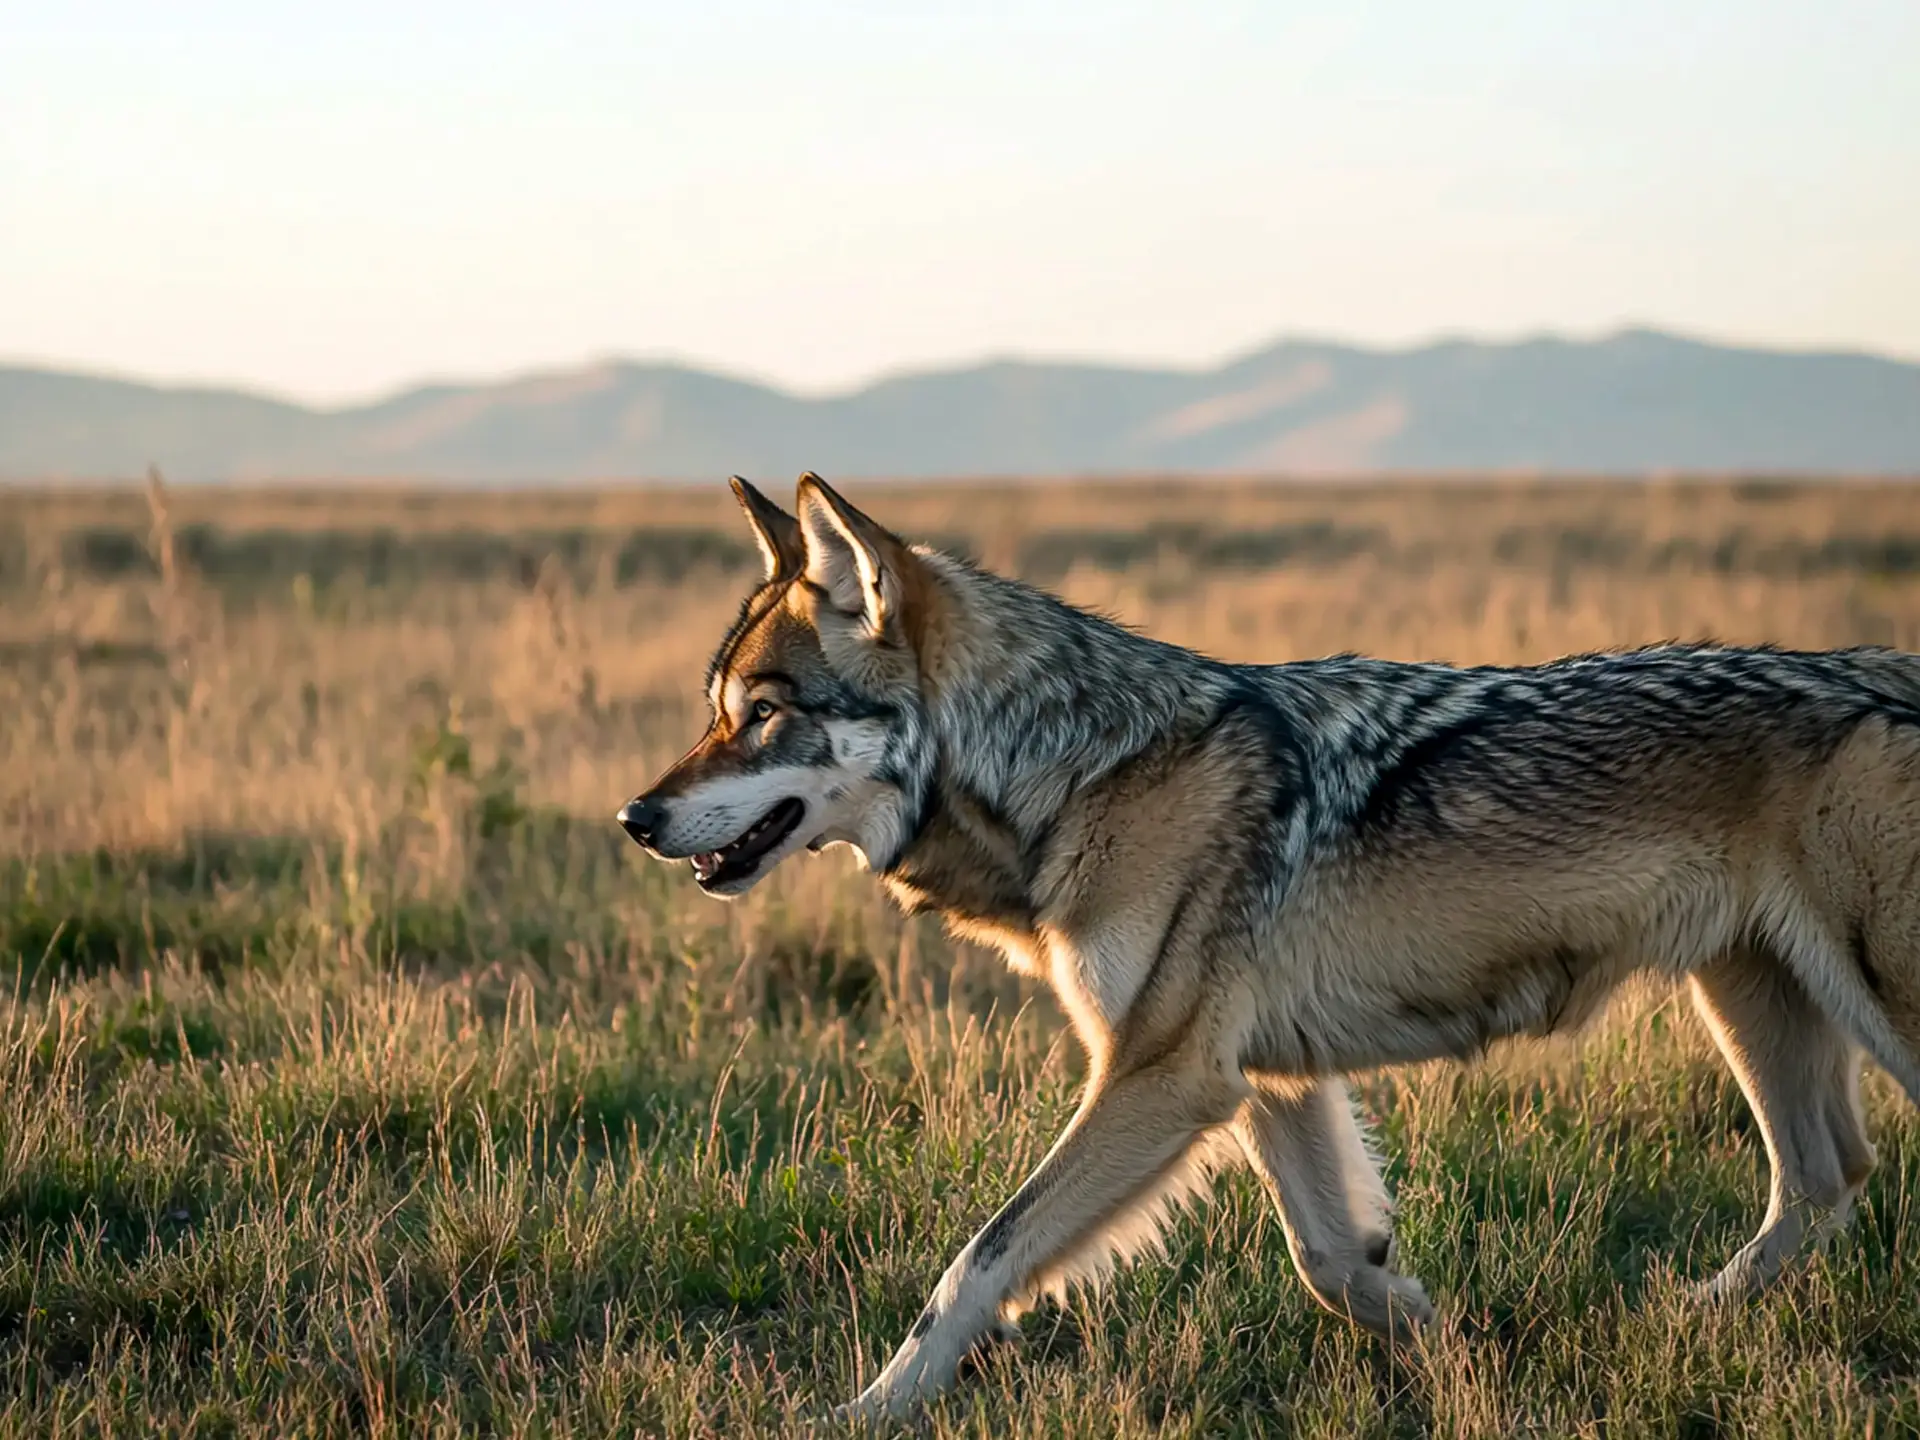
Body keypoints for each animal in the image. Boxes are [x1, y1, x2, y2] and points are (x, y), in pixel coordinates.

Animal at [614, 474, 1920, 1420]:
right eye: (715, 711)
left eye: (761, 714)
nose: (635, 818)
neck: (1079, 774)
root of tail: (1889, 667)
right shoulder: (1268, 1081)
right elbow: (1331, 1262)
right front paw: (1448, 1340)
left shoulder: (1163, 1076)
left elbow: (978, 1263)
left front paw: (866, 1411)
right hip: (1752, 999)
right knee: (1825, 1180)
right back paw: (1683, 1318)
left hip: (1861, 1007)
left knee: (1832, 1177)